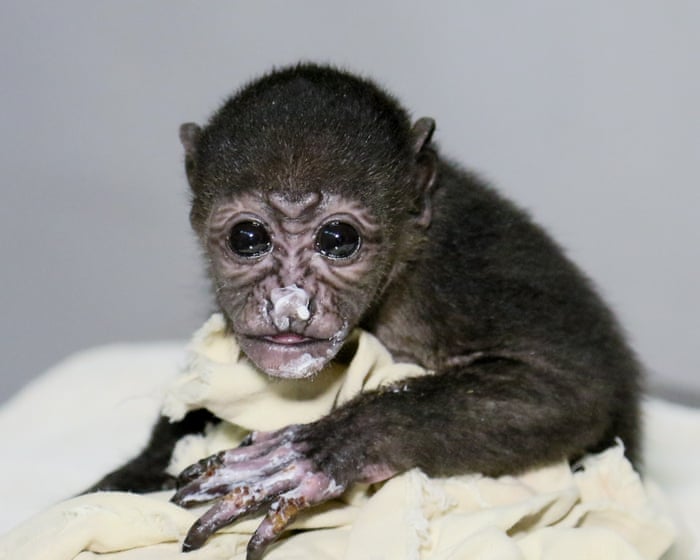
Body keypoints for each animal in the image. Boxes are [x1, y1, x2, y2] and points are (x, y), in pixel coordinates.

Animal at [88, 63, 642, 560]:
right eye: (247, 238)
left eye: (338, 239)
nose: (288, 304)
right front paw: (128, 479)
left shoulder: (463, 267)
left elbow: (573, 384)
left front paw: (325, 449)